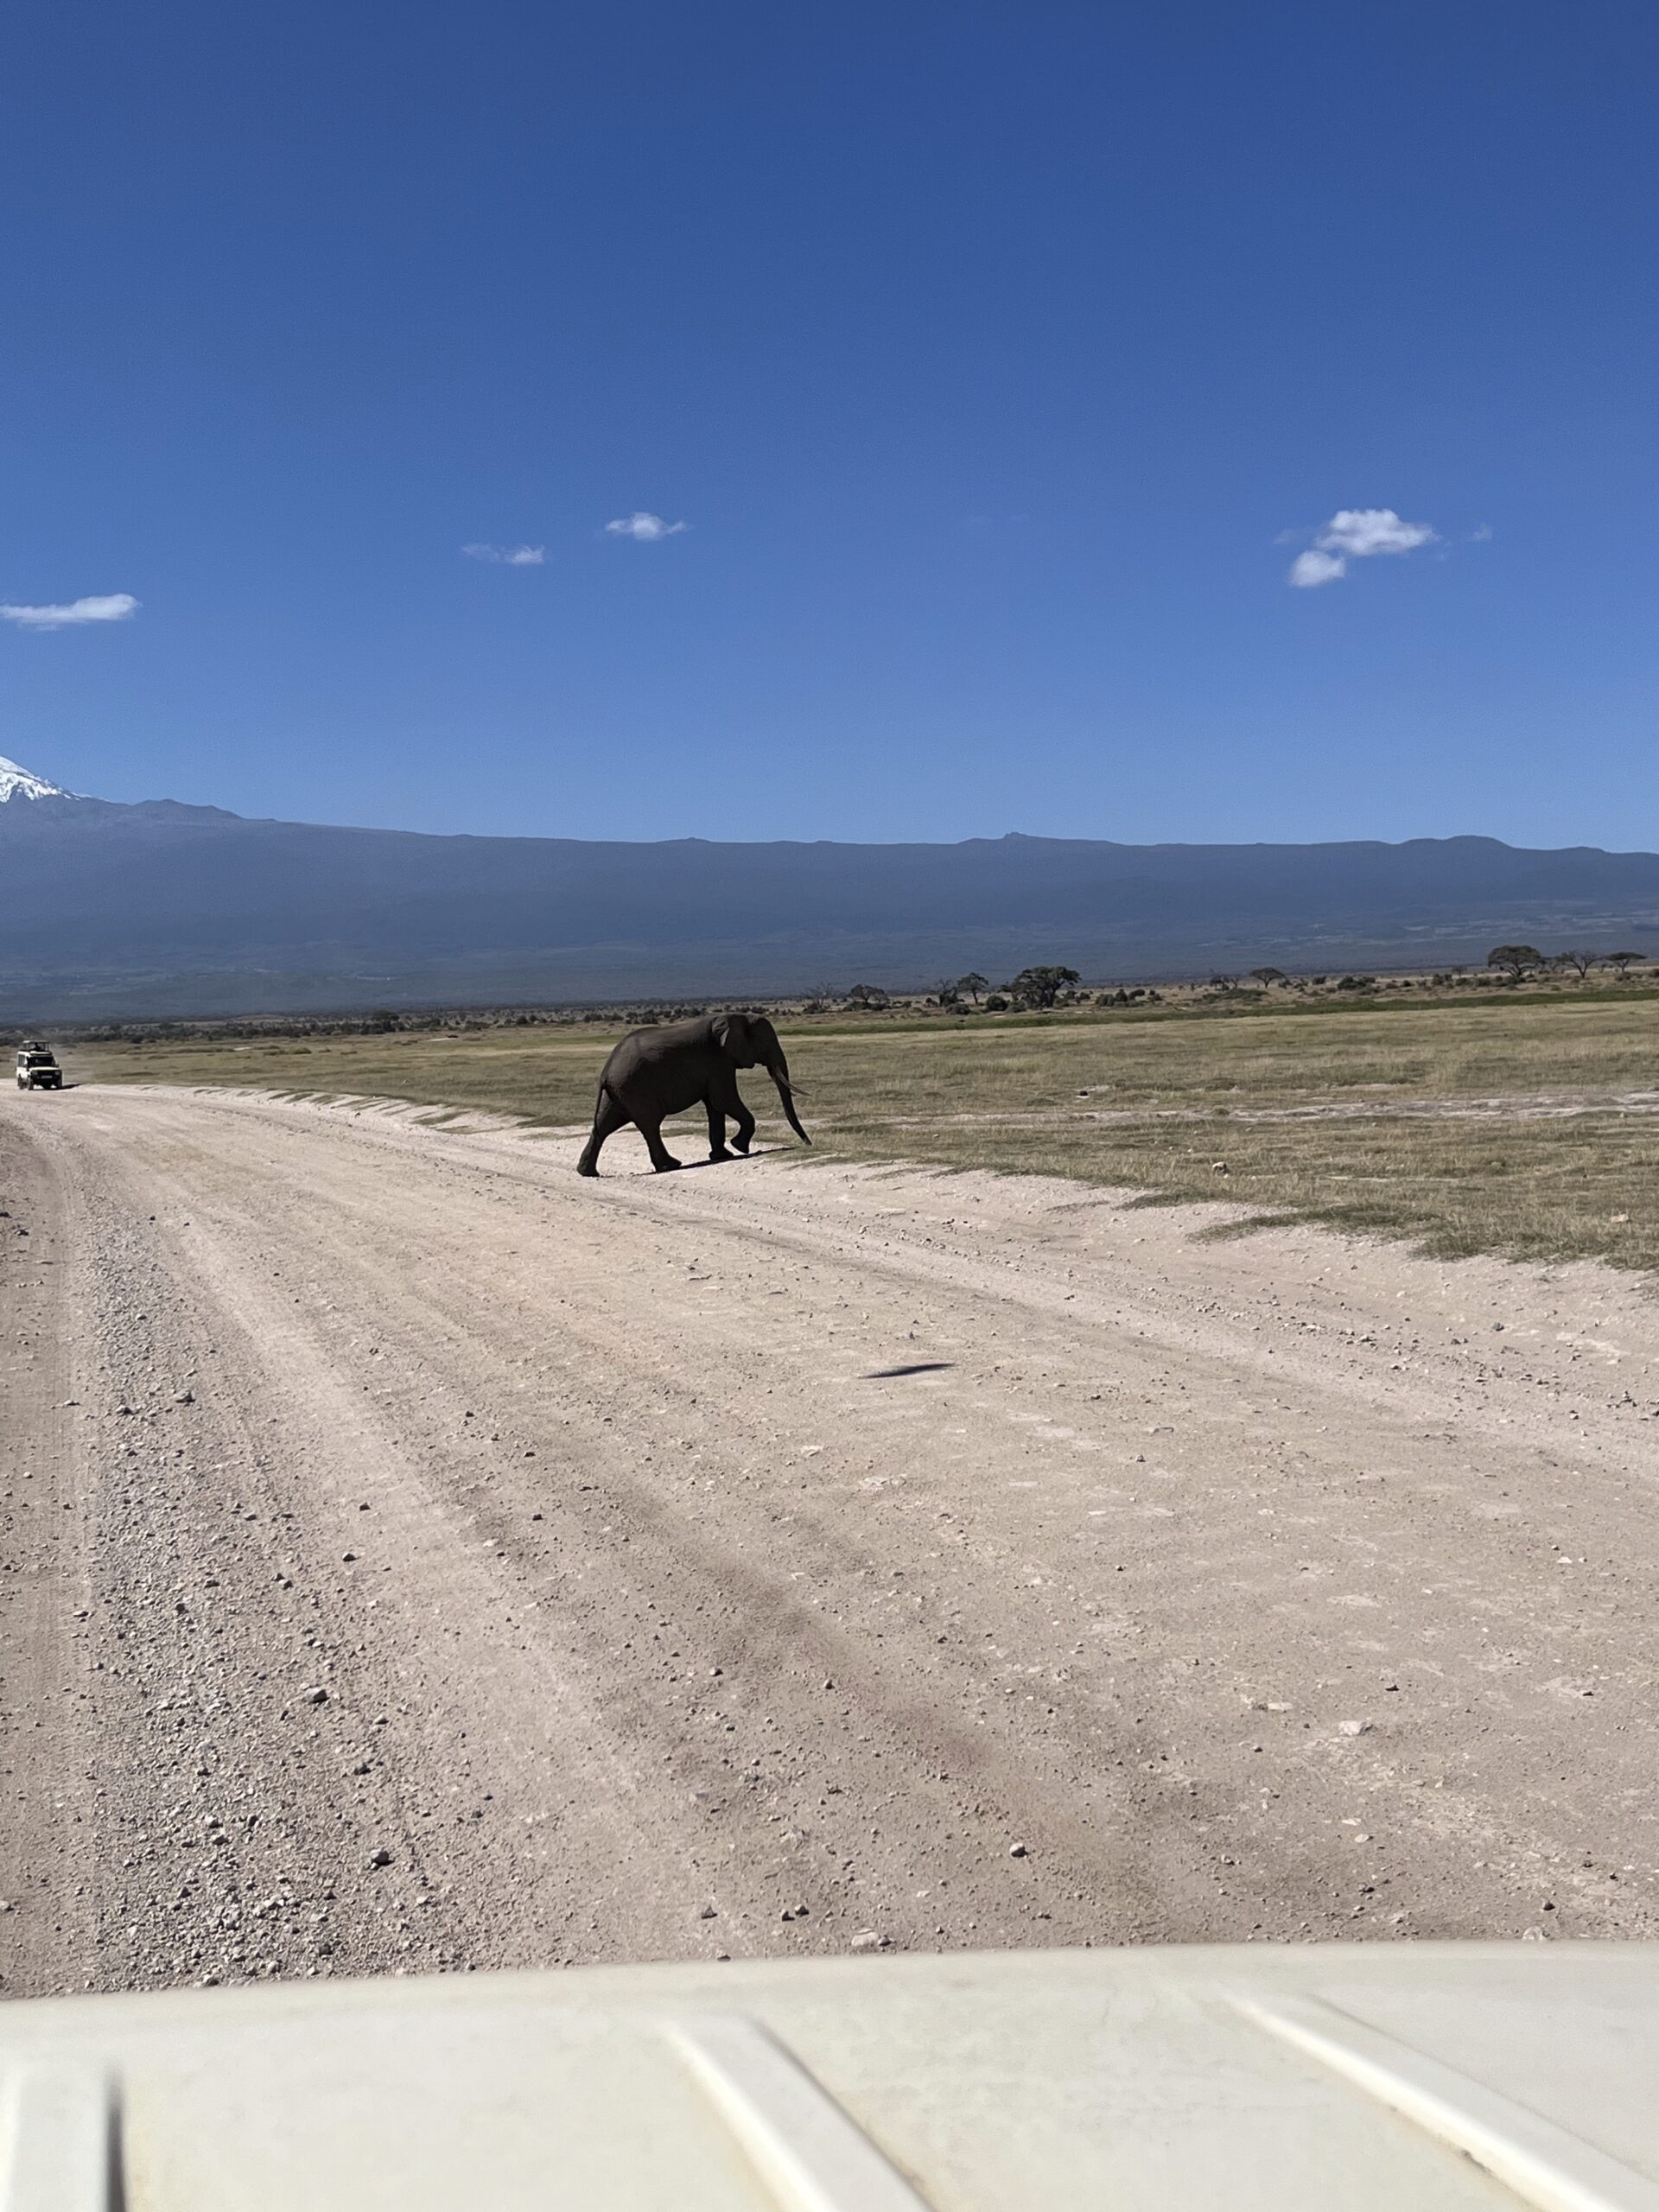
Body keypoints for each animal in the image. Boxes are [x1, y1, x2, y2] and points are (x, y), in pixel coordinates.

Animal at [575, 1008, 814, 1176]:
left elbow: (715, 1106)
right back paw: (671, 1165)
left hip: (618, 1093)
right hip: (635, 1088)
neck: (735, 1017)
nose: (808, 1144)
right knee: (650, 1126)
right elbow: (724, 1100)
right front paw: (740, 1148)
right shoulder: (718, 1061)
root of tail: (606, 1073)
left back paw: (588, 1173)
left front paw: (723, 1155)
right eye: (768, 1041)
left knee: (604, 1126)